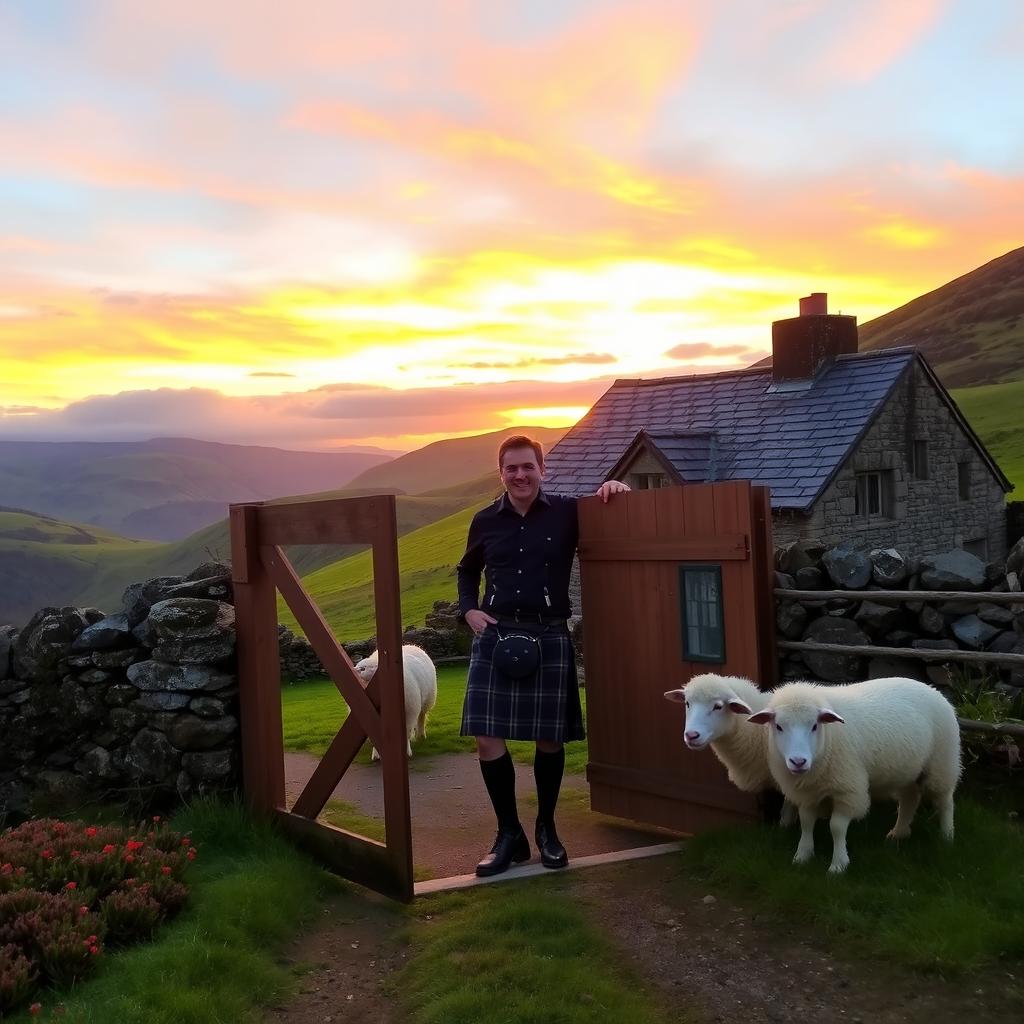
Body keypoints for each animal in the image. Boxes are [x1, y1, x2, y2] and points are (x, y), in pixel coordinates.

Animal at [745, 679, 958, 872]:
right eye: (778, 726)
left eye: (814, 726)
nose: (798, 761)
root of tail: (930, 687)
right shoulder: (807, 792)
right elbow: (806, 822)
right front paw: (802, 855)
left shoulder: (848, 789)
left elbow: (837, 827)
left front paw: (838, 865)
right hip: (907, 770)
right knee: (909, 798)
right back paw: (899, 832)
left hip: (942, 764)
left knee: (945, 801)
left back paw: (947, 837)